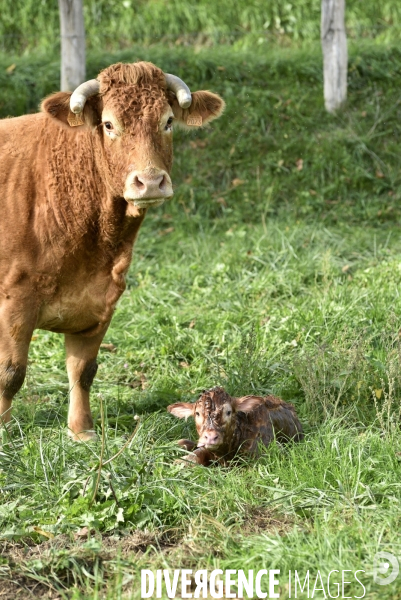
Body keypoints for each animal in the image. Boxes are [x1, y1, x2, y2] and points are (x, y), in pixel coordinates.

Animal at [0, 61, 225, 438]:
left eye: (167, 121)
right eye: (109, 124)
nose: (150, 181)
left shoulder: (101, 300)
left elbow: (83, 370)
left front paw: (81, 430)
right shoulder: (15, 299)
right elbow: (10, 372)